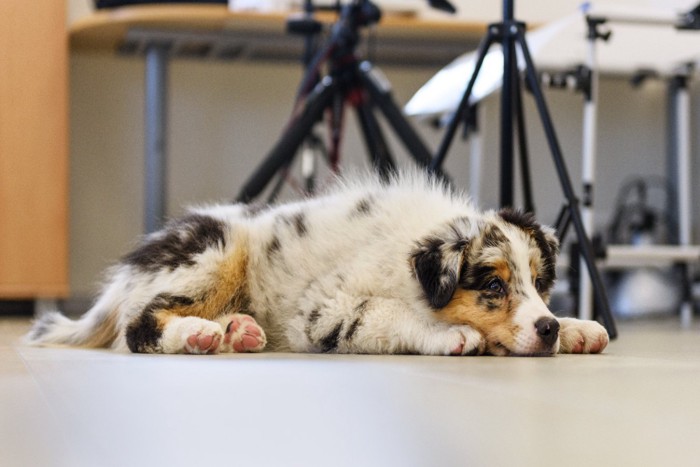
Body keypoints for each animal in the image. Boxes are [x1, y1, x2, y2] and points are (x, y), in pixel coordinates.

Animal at [26, 170, 608, 356]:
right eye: (492, 285)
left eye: (540, 283)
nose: (548, 328)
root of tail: (130, 271)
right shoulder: (324, 311)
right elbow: (385, 315)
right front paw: (449, 335)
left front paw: (579, 327)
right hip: (213, 251)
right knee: (139, 325)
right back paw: (198, 334)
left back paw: (236, 331)